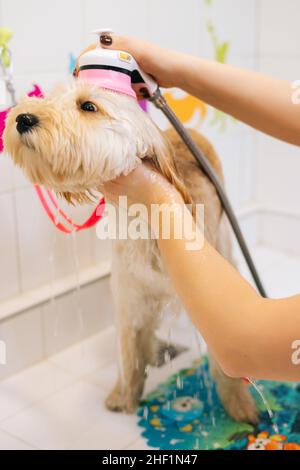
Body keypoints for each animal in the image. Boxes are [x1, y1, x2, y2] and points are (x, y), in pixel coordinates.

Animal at [3, 81, 258, 422]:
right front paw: (124, 396)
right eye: (47, 96)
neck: (148, 227)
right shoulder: (129, 296)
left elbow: (224, 365)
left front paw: (238, 404)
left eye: (88, 106)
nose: (23, 118)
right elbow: (128, 352)